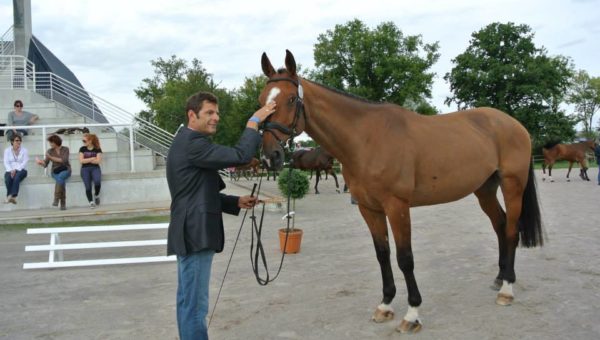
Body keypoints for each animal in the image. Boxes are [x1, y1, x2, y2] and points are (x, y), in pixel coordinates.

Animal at [258, 50, 544, 334]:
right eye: (262, 101)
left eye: (291, 99)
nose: (270, 156)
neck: (367, 138)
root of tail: (514, 125)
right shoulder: (369, 208)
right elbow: (382, 254)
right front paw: (385, 305)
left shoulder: (397, 206)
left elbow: (405, 258)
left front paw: (412, 314)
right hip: (484, 190)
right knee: (499, 225)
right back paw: (499, 278)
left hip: (512, 185)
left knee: (511, 231)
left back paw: (507, 289)